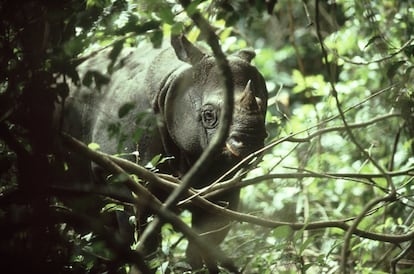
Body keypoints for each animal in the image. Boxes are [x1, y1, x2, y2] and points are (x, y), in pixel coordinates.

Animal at [61, 34, 268, 270]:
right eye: (208, 115)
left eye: (263, 106)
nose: (251, 142)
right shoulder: (117, 168)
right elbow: (142, 231)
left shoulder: (225, 175)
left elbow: (209, 233)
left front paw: (196, 265)